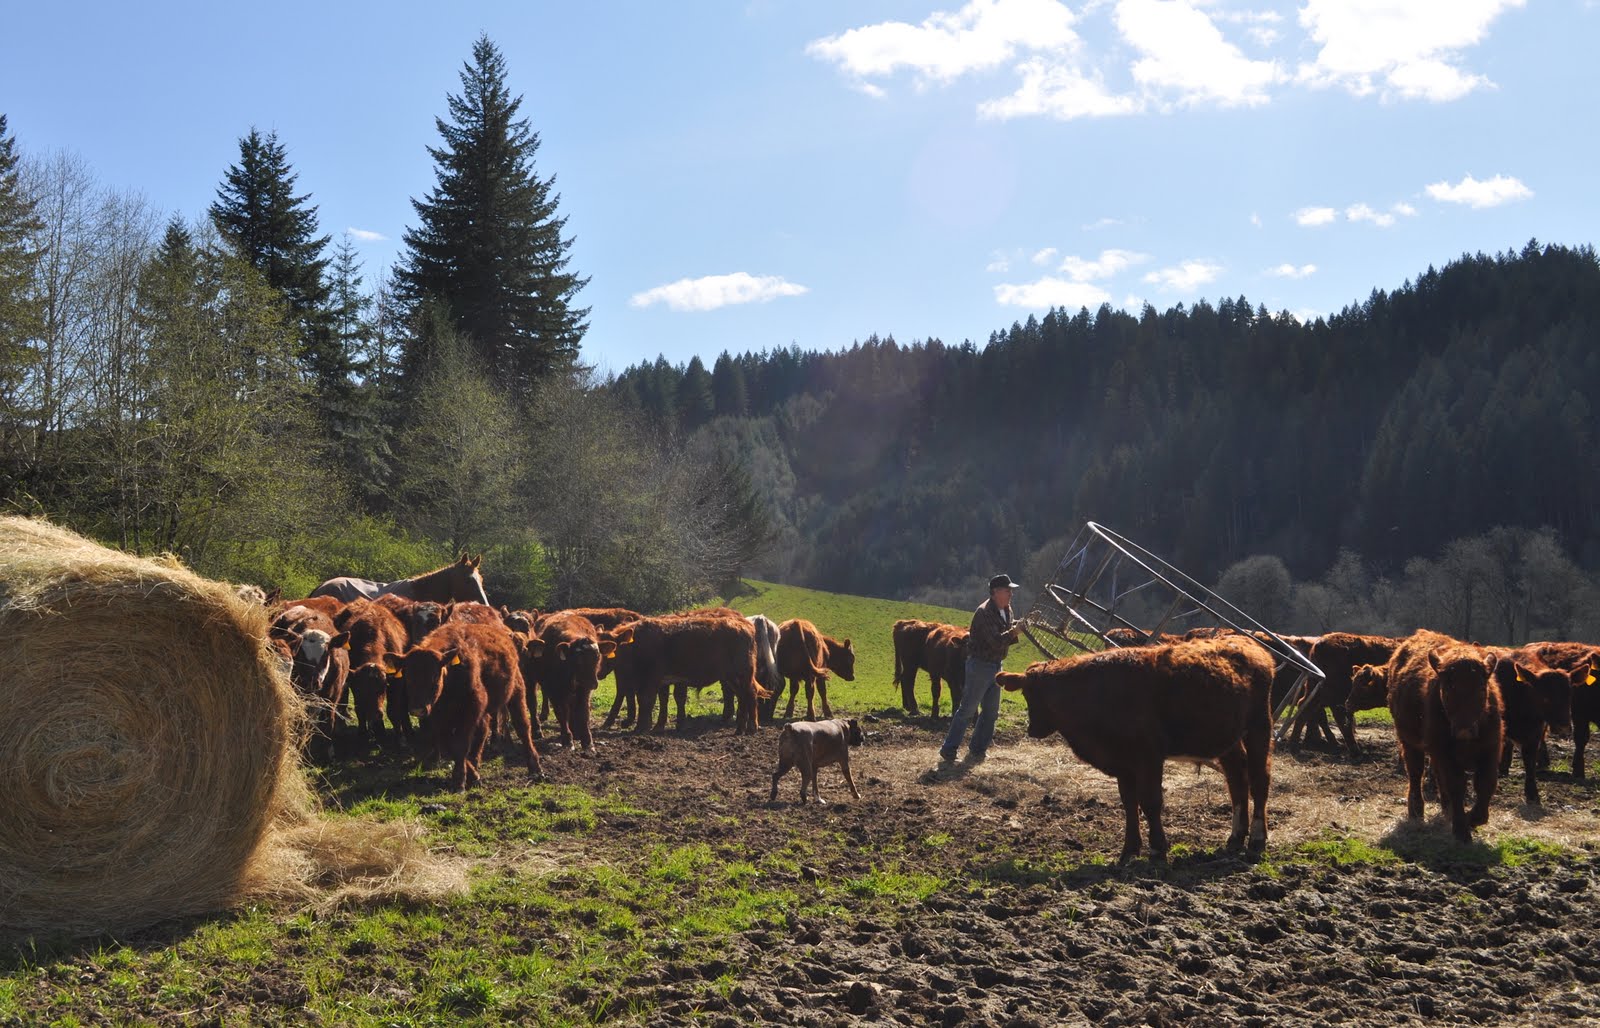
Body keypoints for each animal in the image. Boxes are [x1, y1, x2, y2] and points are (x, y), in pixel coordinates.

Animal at [382, 621, 541, 790]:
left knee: (522, 727)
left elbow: (460, 743)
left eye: (435, 676)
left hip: (516, 691)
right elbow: (448, 744)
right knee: (483, 731)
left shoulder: (471, 708)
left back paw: (535, 767)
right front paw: (472, 775)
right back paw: (476, 763)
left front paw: (459, 780)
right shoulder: (437, 717)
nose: (418, 709)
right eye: (408, 676)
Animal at [613, 613, 767, 735]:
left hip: (742, 673)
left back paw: (751, 728)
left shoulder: (652, 678)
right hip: (732, 677)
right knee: (743, 697)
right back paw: (740, 729)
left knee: (751, 694)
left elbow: (646, 700)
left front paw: (641, 728)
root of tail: (744, 624)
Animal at [997, 635, 1274, 864]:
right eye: (1027, 693)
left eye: (1038, 696)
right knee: (1237, 782)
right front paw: (1129, 849)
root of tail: (1248, 644)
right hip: (1228, 739)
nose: (1033, 730)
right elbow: (1130, 803)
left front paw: (1157, 849)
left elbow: (1150, 801)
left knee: (1259, 781)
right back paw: (1236, 838)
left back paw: (1256, 840)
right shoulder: (1122, 761)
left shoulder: (1149, 756)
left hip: (1260, 726)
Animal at [1386, 630, 1503, 843]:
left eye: (1482, 687)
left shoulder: (1490, 750)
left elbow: (1486, 784)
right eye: (1448, 687)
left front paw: (1473, 819)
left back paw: (1447, 810)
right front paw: (1462, 830)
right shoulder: (1445, 753)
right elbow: (1456, 785)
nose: (1464, 729)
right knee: (1415, 774)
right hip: (1410, 743)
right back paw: (1416, 811)